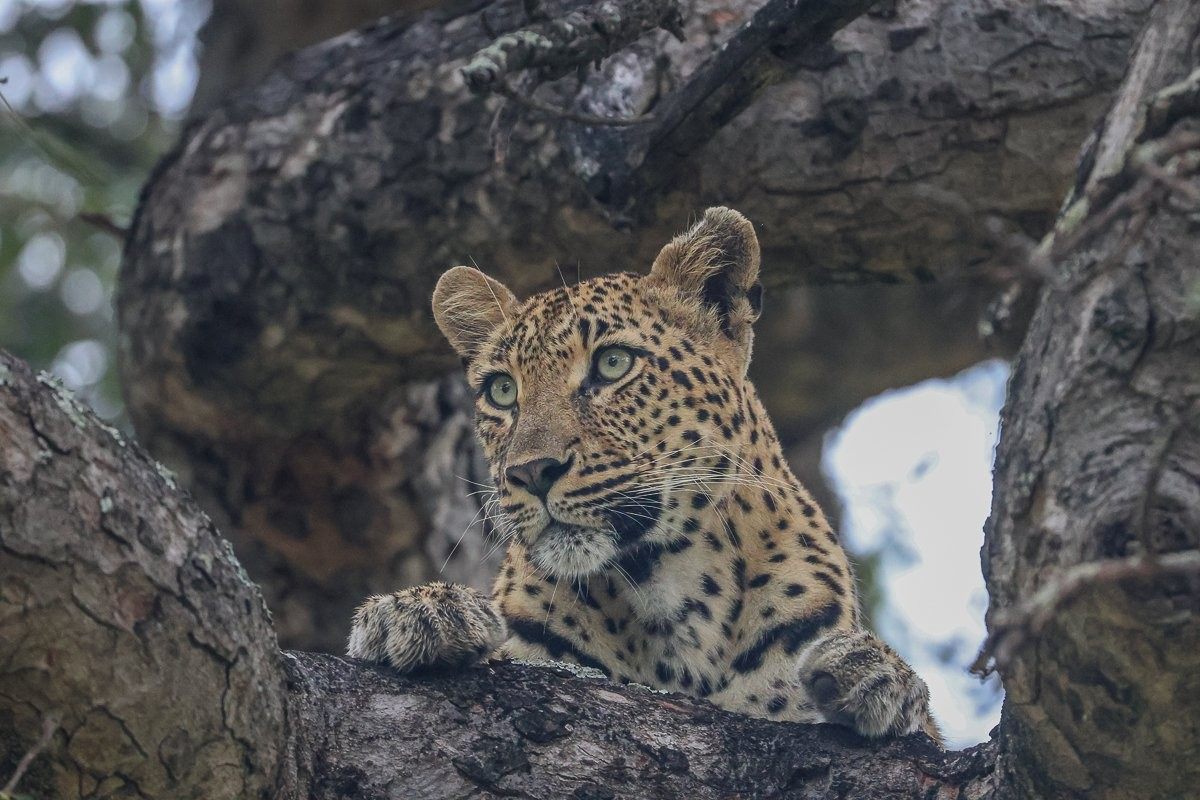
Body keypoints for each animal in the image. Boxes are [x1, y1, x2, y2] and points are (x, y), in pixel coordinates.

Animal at [348, 207, 941, 743]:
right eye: (501, 390)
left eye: (613, 363)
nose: (533, 471)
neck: (672, 600)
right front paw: (416, 613)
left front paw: (875, 674)